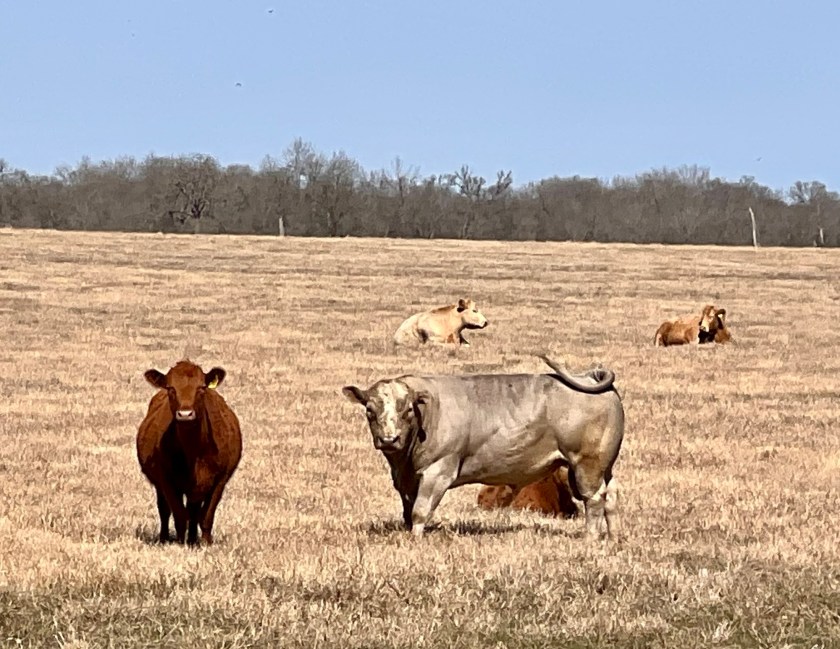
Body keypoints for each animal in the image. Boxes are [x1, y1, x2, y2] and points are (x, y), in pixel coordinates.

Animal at [136, 360, 242, 546]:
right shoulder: (166, 480)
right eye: (171, 388)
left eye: (201, 388)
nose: (185, 414)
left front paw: (206, 543)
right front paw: (180, 543)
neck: (194, 451)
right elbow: (179, 514)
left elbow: (206, 515)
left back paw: (193, 539)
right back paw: (165, 538)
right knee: (165, 510)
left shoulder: (220, 479)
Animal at [342, 355, 624, 540]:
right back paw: (612, 538)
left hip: (586, 464)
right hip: (604, 466)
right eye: (369, 410)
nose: (389, 439)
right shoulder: (406, 479)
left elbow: (420, 511)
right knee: (611, 497)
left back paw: (589, 538)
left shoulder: (438, 471)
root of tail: (591, 377)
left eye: (408, 410)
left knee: (594, 499)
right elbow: (408, 510)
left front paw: (415, 539)